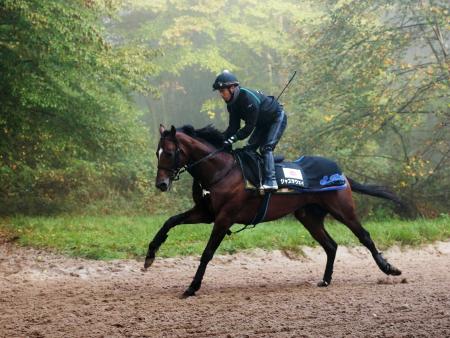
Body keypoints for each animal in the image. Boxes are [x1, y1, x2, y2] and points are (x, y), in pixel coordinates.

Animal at [146, 125, 402, 298]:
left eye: (169, 152)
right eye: (157, 152)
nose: (161, 184)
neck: (220, 171)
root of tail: (342, 174)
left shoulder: (225, 217)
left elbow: (207, 252)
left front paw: (192, 287)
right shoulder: (206, 213)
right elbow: (170, 221)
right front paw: (150, 256)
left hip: (343, 210)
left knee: (364, 236)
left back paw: (389, 268)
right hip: (308, 216)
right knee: (331, 245)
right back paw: (326, 280)